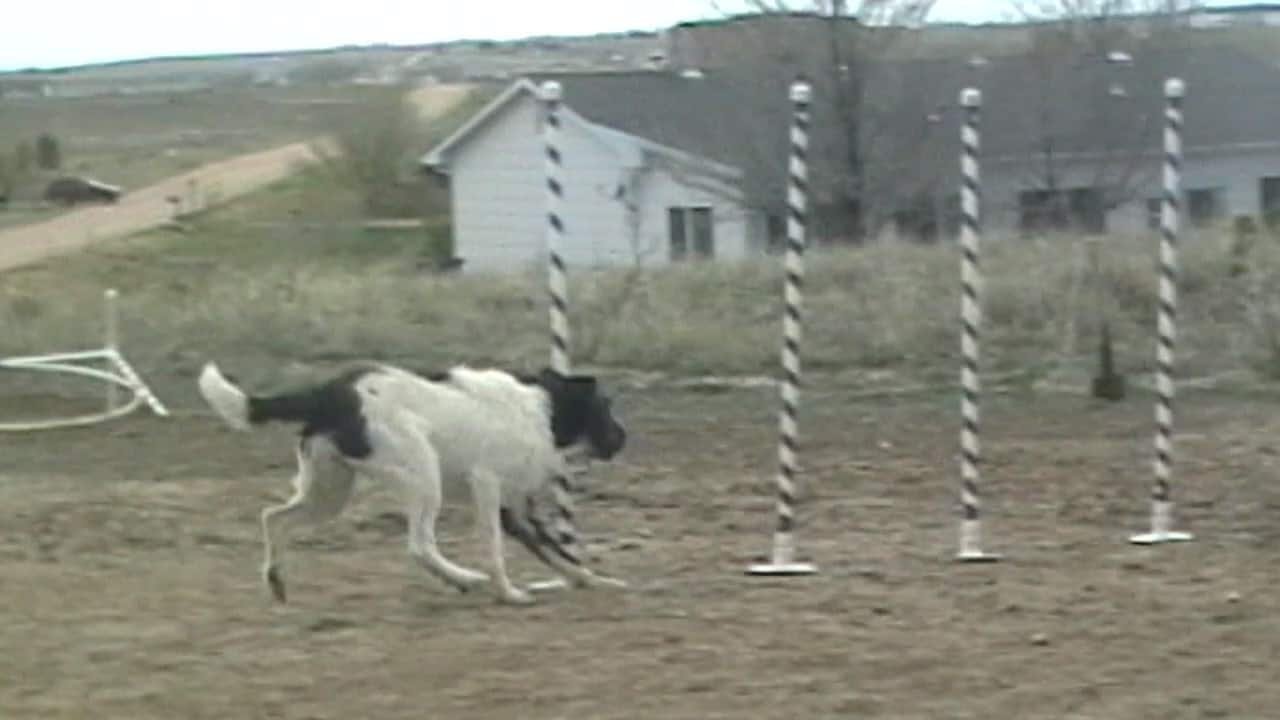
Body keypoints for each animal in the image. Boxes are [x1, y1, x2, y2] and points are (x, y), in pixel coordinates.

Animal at [197, 361, 627, 602]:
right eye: (605, 406)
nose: (624, 437)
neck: (544, 409)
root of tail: (329, 392)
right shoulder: (487, 488)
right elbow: (496, 552)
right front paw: (508, 593)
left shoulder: (516, 509)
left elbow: (560, 554)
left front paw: (595, 580)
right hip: (423, 476)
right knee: (419, 545)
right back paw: (465, 579)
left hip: (329, 492)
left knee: (274, 517)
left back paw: (276, 580)